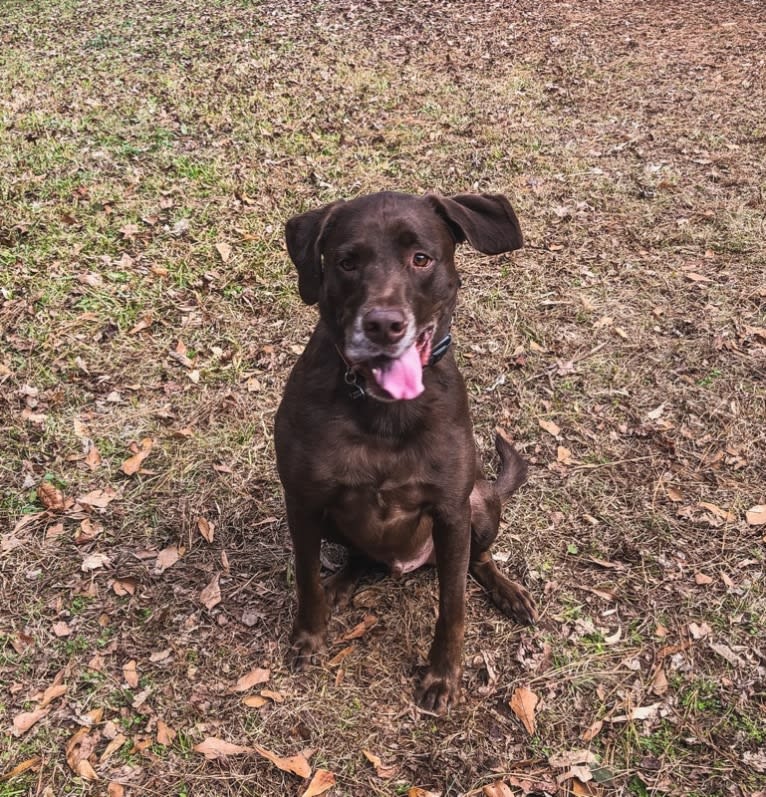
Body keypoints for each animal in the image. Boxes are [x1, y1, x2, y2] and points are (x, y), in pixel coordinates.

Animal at [274, 190, 536, 712]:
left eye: (421, 258)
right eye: (346, 262)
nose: (383, 324)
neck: (383, 412)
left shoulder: (452, 511)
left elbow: (453, 605)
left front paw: (442, 676)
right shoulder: (304, 501)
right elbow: (306, 577)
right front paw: (310, 636)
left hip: (479, 502)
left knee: (478, 560)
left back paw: (507, 591)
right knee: (359, 558)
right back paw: (342, 585)